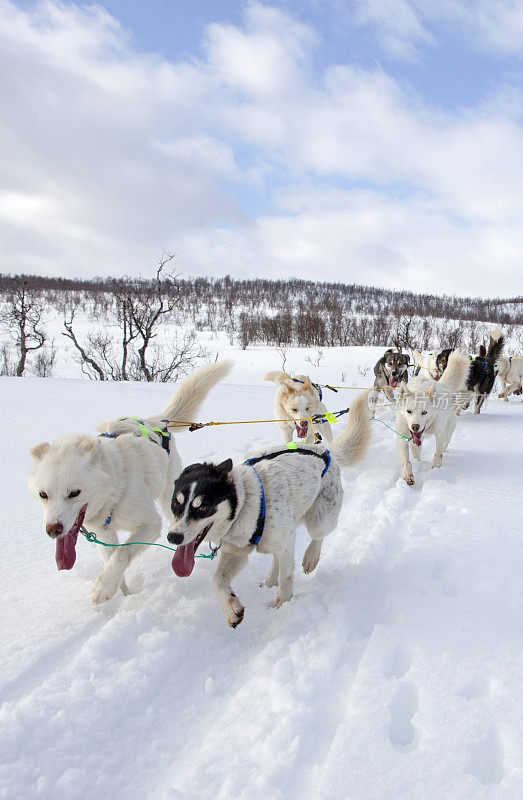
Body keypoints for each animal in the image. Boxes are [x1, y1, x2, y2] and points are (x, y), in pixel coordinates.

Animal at [27, 360, 232, 604]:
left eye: (74, 493)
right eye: (43, 494)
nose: (53, 530)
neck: (114, 491)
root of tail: (157, 420)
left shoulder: (150, 525)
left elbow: (122, 553)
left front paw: (104, 586)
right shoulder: (104, 534)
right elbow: (112, 558)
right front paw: (121, 593)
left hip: (168, 498)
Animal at [167, 390, 372, 628]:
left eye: (203, 507)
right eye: (175, 504)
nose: (173, 537)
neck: (247, 502)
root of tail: (324, 450)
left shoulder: (283, 539)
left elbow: (287, 577)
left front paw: (282, 605)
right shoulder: (236, 552)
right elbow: (218, 580)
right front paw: (231, 608)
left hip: (320, 519)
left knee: (317, 536)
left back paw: (310, 557)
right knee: (277, 557)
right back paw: (269, 580)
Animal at [398, 352, 470, 488]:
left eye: (424, 412)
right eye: (409, 411)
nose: (415, 426)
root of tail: (441, 385)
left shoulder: (439, 433)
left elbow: (438, 453)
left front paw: (436, 469)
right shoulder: (402, 436)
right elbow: (406, 460)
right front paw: (408, 475)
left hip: (448, 429)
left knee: (445, 443)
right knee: (416, 452)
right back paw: (418, 463)